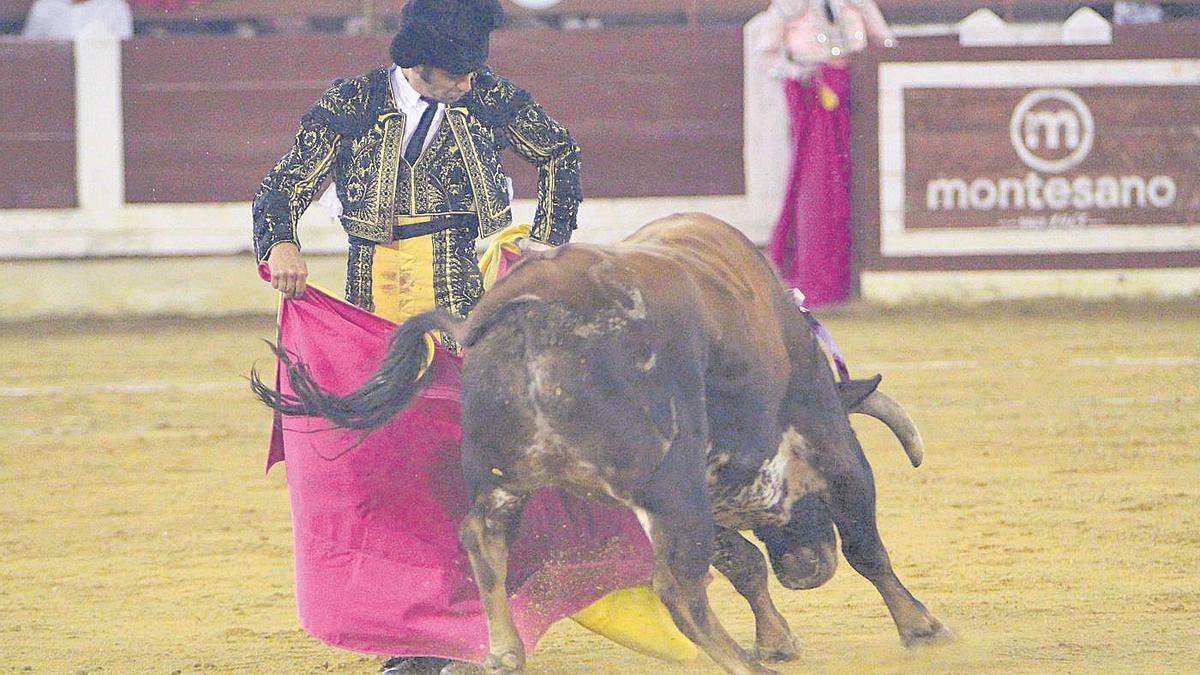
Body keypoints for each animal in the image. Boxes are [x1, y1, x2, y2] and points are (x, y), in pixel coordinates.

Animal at [253, 213, 945, 672]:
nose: (807, 569)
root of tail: (522, 309)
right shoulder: (824, 442)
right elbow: (864, 544)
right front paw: (922, 626)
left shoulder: (700, 492)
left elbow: (743, 561)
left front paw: (776, 636)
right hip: (668, 481)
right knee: (677, 588)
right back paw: (744, 667)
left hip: (507, 476)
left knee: (483, 539)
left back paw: (504, 651)